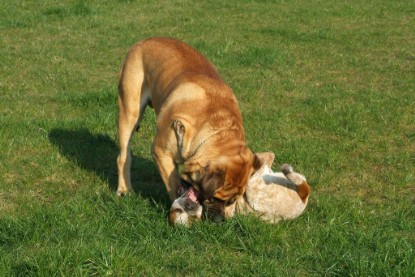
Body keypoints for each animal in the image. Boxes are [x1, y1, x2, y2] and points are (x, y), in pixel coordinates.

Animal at [115, 36, 262, 219]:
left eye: (230, 201)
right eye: (213, 198)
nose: (219, 220)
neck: (216, 128)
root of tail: (143, 41)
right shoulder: (161, 152)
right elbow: (173, 183)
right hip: (129, 111)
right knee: (123, 156)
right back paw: (123, 189)